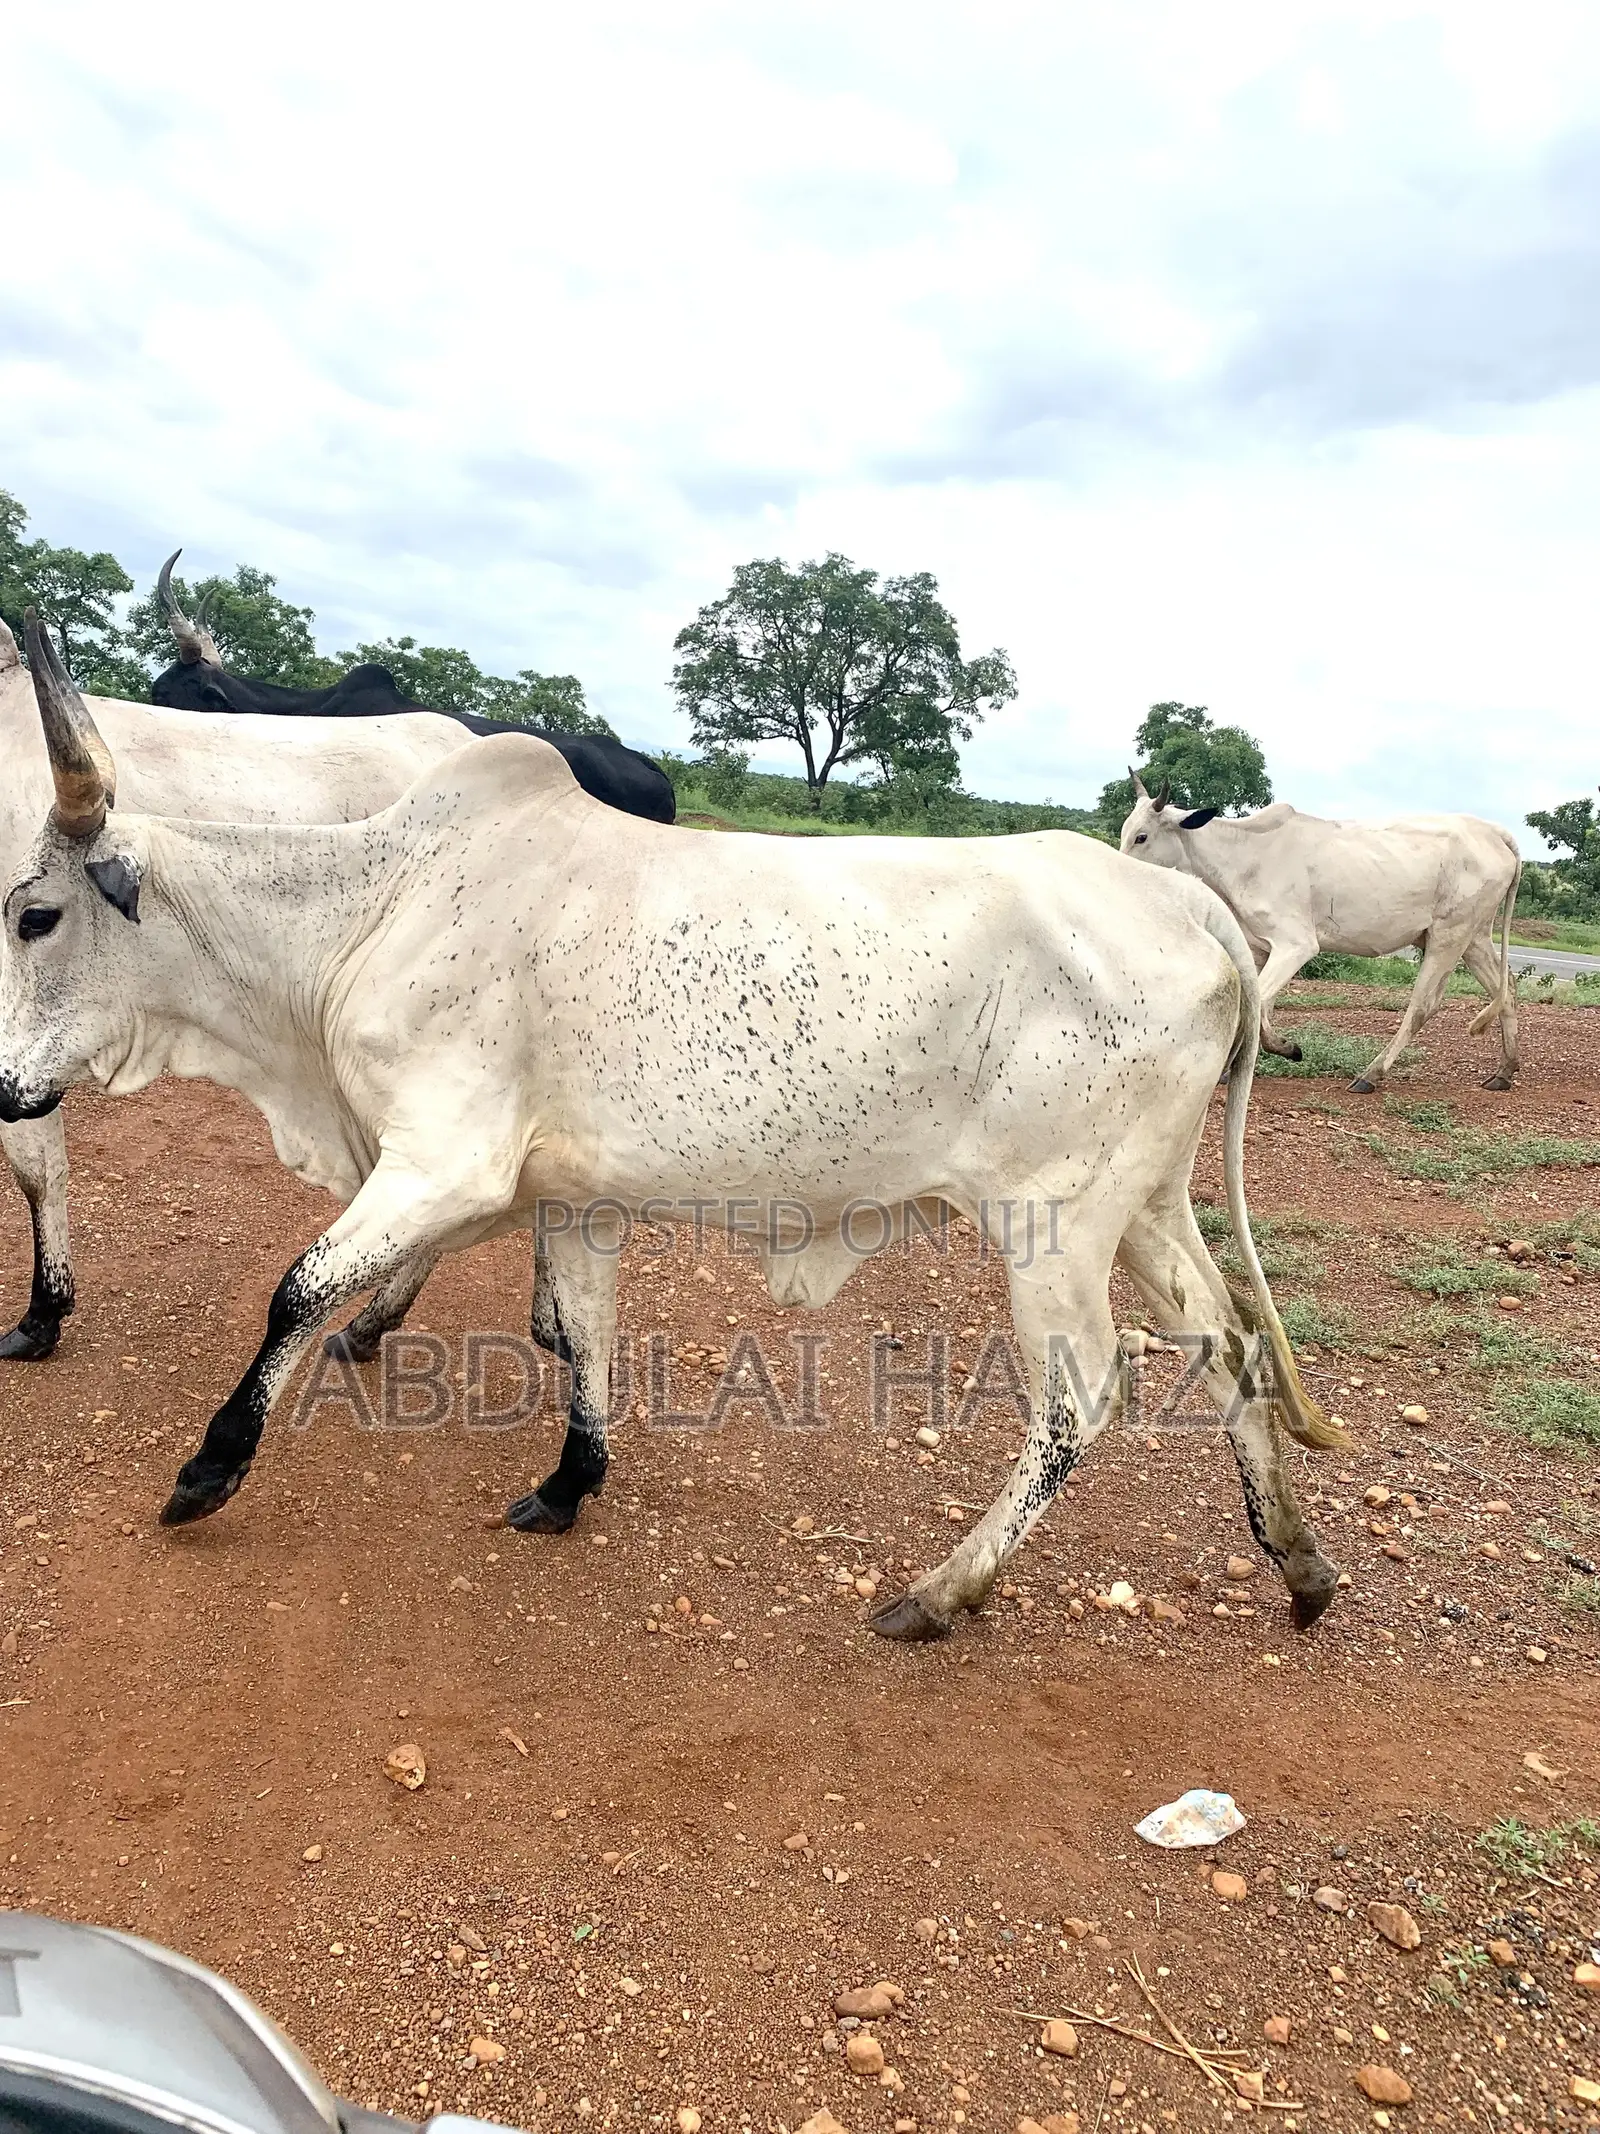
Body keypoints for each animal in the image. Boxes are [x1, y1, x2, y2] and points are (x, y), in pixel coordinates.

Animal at [0, 613, 1348, 1643]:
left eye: (33, 914)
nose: (7, 1086)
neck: (369, 907)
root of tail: (1183, 902)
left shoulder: (441, 1162)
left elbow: (299, 1289)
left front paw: (208, 1469)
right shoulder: (570, 1191)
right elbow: (579, 1328)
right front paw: (567, 1482)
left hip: (1052, 1225)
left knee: (1081, 1397)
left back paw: (940, 1591)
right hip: (1148, 1207)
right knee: (1228, 1344)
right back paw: (1296, 1561)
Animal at [1118, 774, 1522, 1094]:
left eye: (1142, 836)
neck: (1243, 855)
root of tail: (1495, 833)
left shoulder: (1295, 945)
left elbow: (1260, 1001)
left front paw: (1286, 1049)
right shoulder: (1260, 948)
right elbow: (1261, 1004)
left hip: (1448, 936)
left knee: (1423, 1005)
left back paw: (1370, 1075)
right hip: (1473, 938)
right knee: (1507, 988)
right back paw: (1505, 1070)